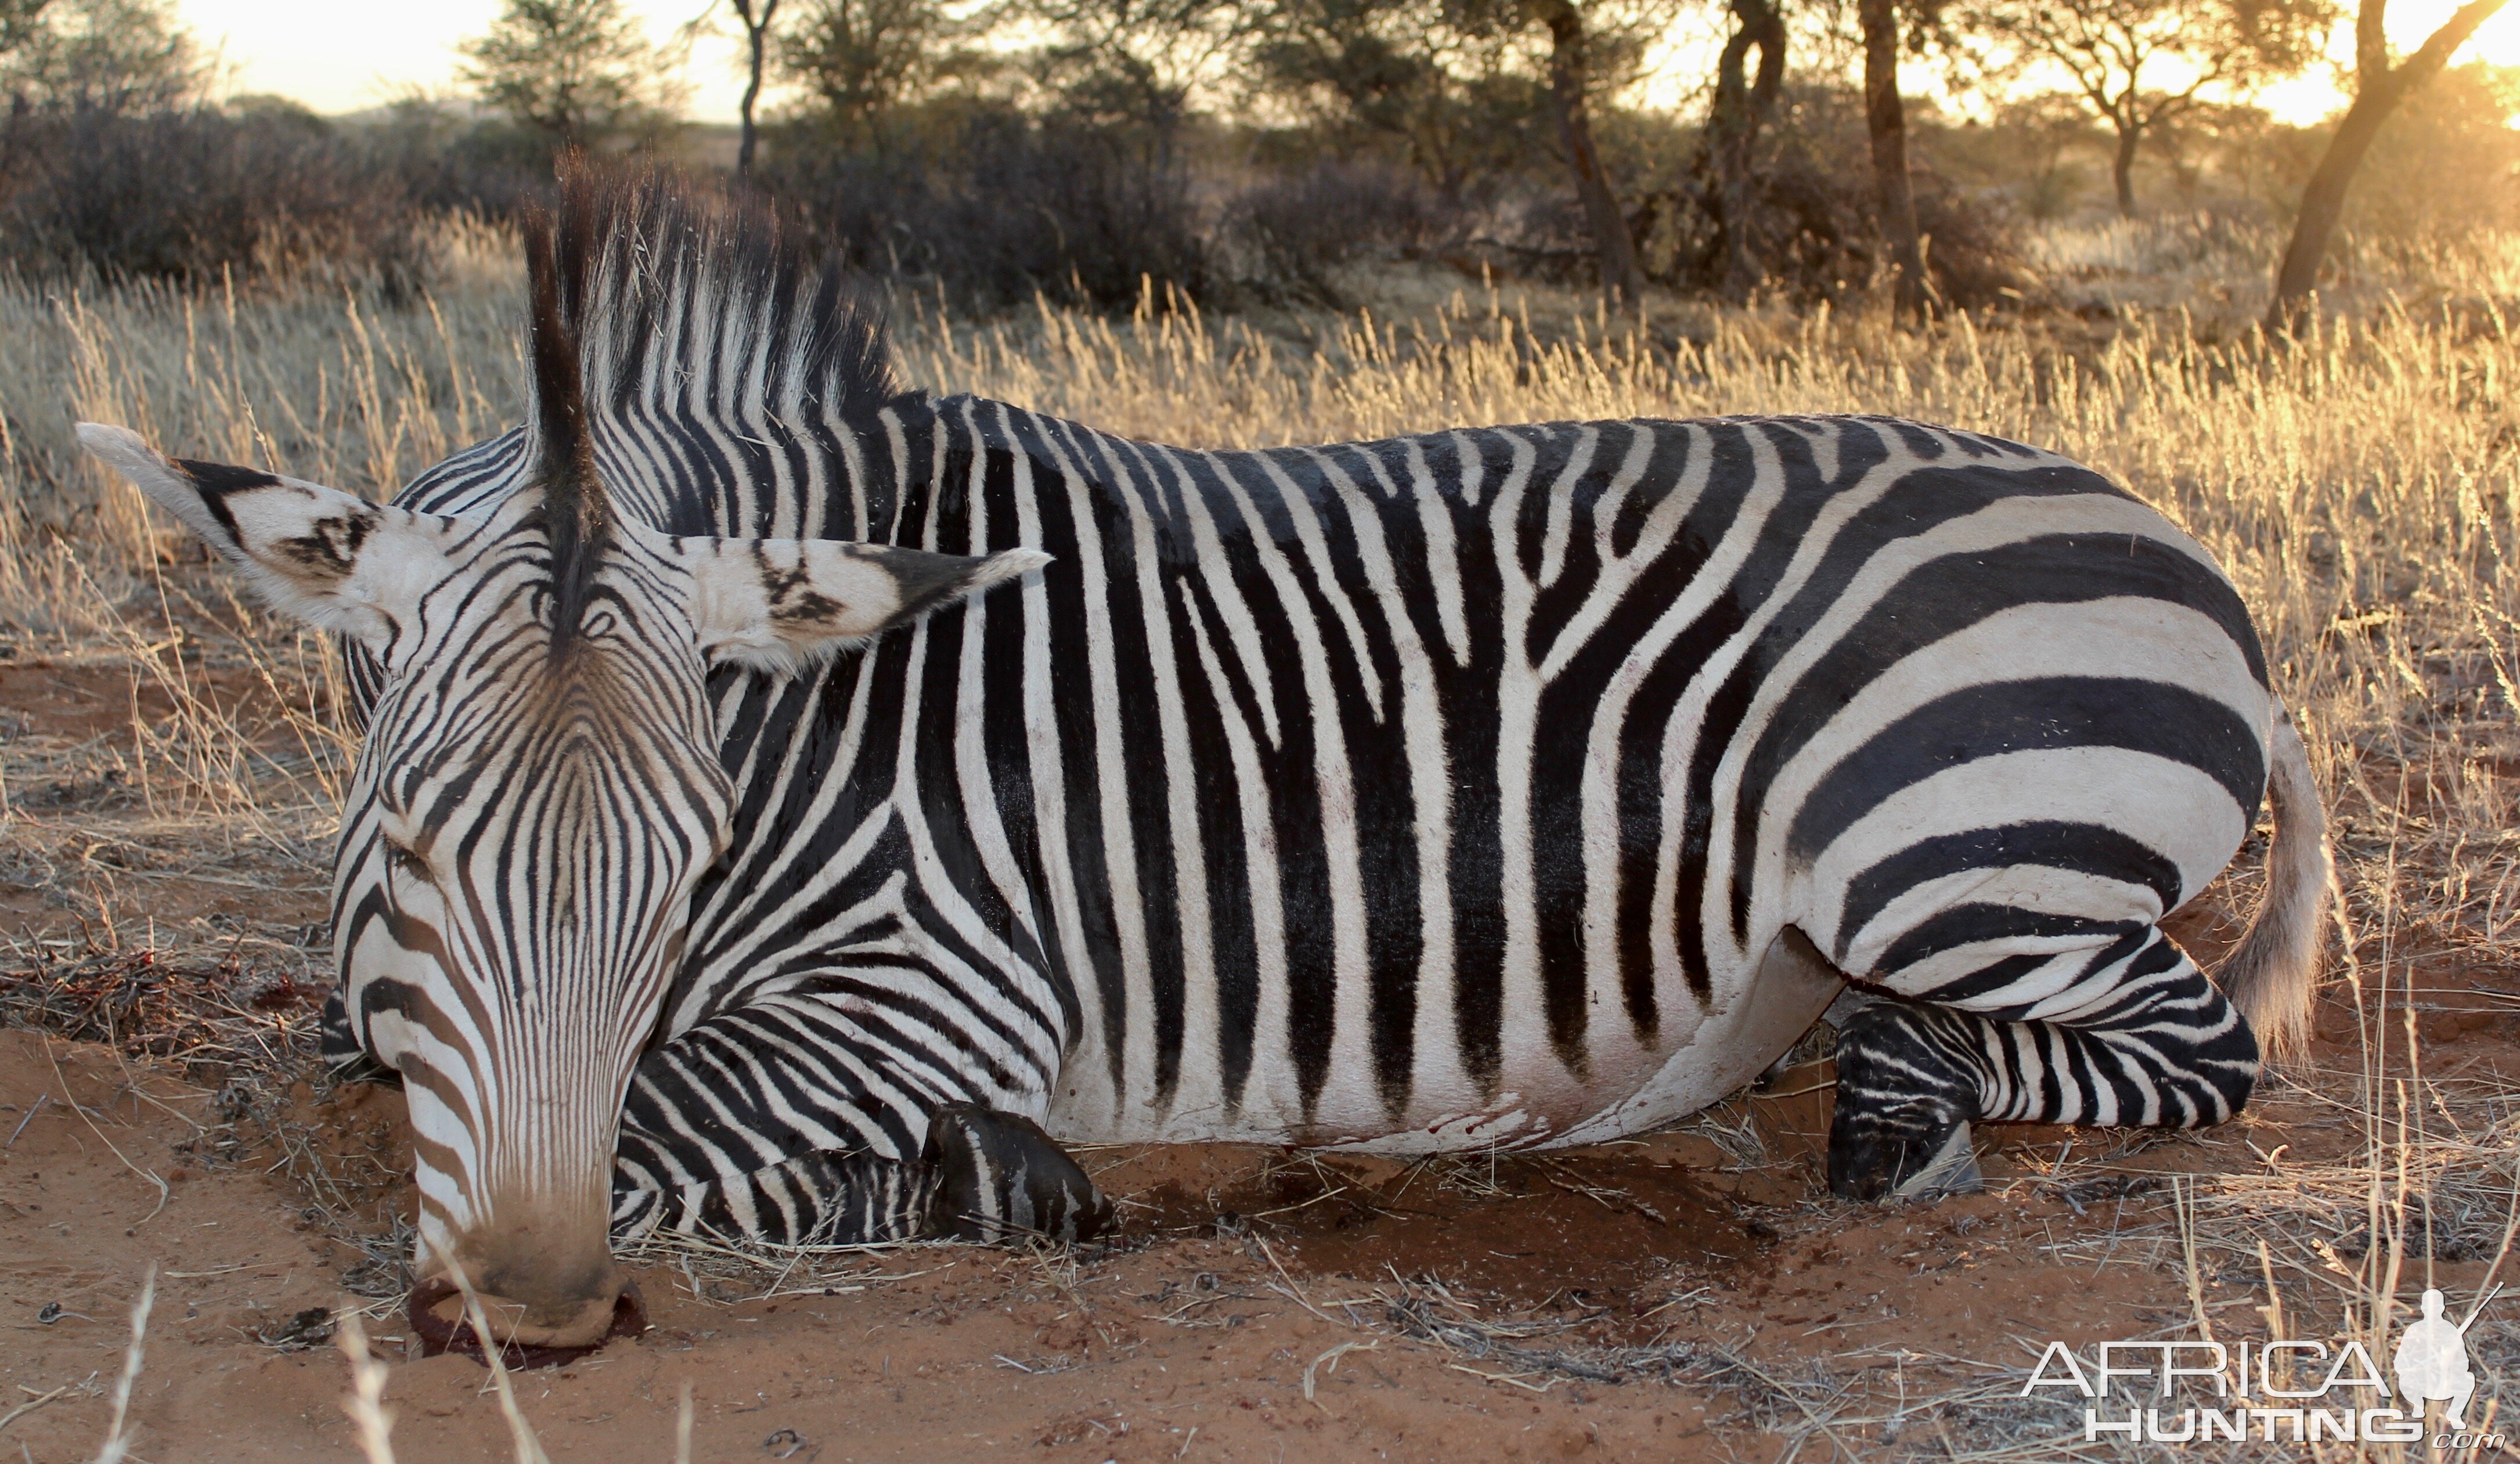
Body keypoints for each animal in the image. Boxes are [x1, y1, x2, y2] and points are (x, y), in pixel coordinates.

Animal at [78, 168, 2328, 1350]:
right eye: (412, 848)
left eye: (691, 855)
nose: (532, 1321)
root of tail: (2159, 530)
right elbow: (383, 1066)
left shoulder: (939, 984)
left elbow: (656, 1124)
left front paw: (985, 1179)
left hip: (1948, 856)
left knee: (2189, 1051)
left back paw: (1895, 1106)